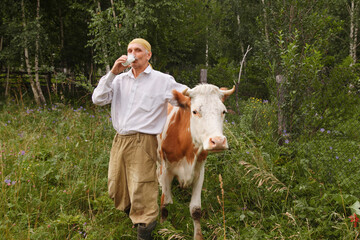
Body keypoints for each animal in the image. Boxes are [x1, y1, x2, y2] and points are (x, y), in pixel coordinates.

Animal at [156, 83, 235, 239]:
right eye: (195, 111)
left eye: (223, 111)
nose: (218, 141)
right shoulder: (165, 170)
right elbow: (165, 205)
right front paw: (164, 229)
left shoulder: (199, 171)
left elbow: (196, 209)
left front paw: (198, 236)